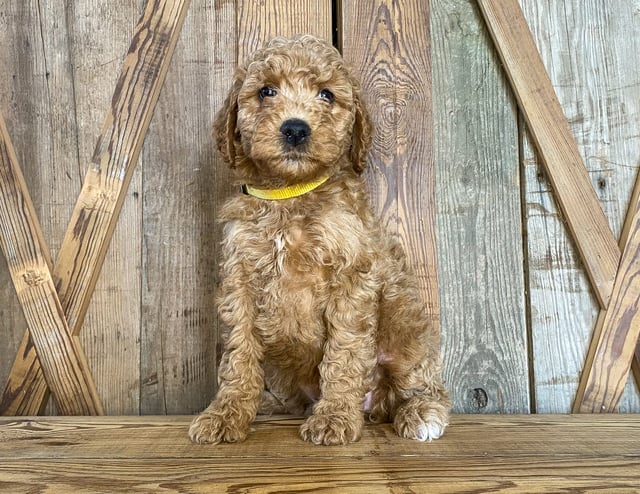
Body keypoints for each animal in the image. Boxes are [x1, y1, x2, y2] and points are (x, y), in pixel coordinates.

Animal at [190, 32, 450, 446]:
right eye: (266, 91)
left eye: (326, 95)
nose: (295, 128)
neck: (290, 194)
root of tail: (375, 405)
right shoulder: (239, 279)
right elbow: (238, 357)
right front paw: (225, 414)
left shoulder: (352, 279)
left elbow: (343, 356)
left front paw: (334, 418)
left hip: (405, 331)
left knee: (421, 383)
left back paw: (421, 413)